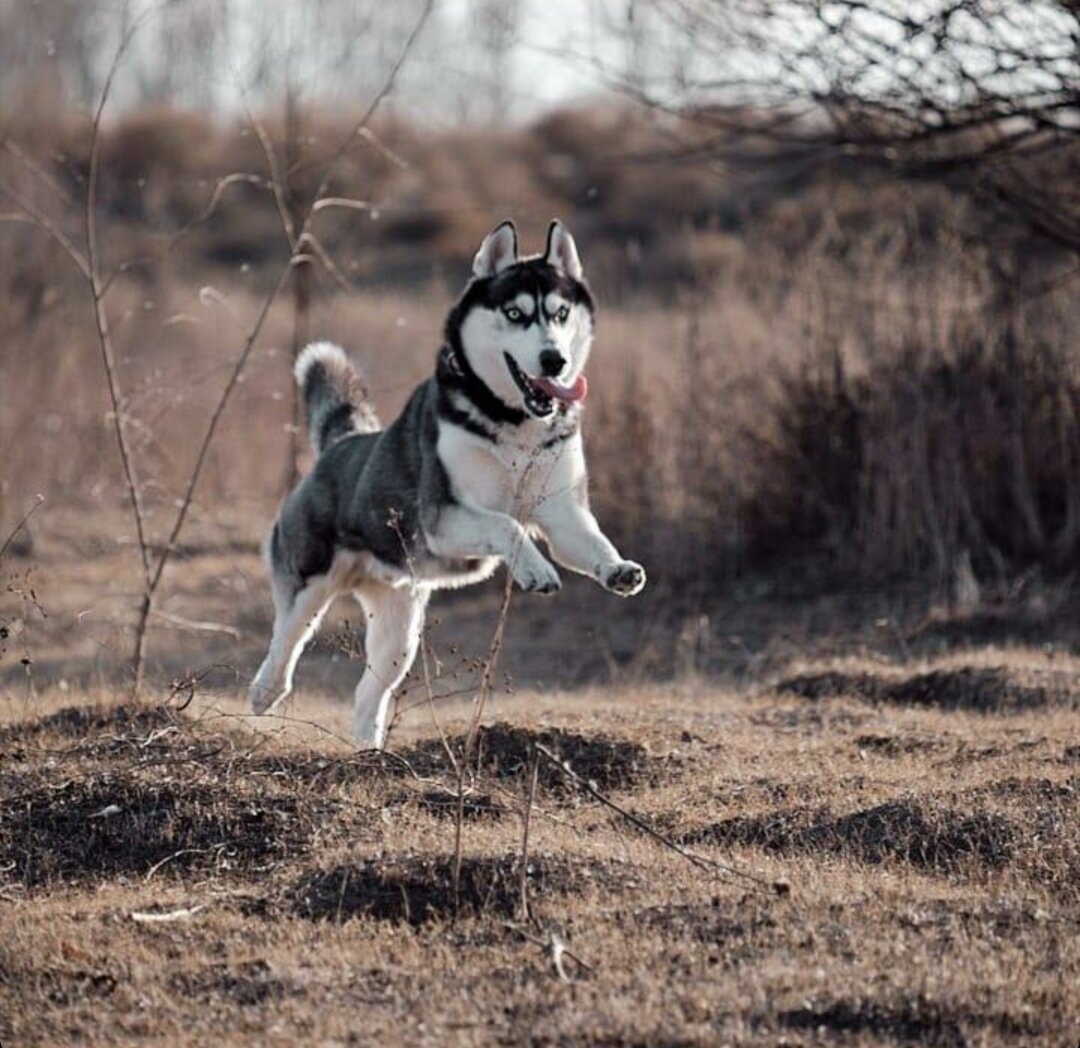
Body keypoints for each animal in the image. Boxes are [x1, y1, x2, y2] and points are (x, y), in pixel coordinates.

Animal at [248, 218, 643, 743]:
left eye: (560, 314)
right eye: (516, 313)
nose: (553, 360)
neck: (516, 425)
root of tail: (342, 443)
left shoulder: (562, 513)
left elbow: (589, 540)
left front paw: (617, 568)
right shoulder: (445, 516)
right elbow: (506, 525)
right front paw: (536, 571)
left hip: (400, 630)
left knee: (368, 693)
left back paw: (370, 750)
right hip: (309, 585)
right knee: (284, 641)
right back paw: (264, 691)